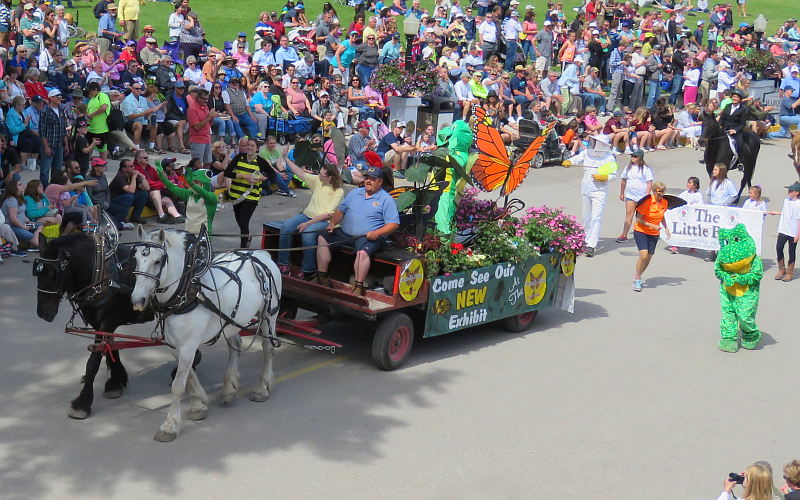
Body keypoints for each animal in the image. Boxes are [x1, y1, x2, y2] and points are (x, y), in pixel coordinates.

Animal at [34, 232, 155, 420]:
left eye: (54, 273)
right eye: (37, 273)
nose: (43, 313)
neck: (104, 275)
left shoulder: (107, 321)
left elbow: (93, 362)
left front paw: (82, 404)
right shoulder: (103, 324)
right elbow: (111, 349)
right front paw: (115, 383)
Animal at [130, 227, 282, 442]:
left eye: (158, 261)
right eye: (135, 258)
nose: (137, 299)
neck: (186, 291)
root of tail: (261, 255)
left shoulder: (188, 345)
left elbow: (178, 385)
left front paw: (169, 426)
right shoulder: (174, 345)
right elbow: (189, 377)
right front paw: (199, 404)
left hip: (269, 316)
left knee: (268, 348)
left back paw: (262, 388)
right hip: (230, 321)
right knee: (235, 345)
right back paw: (228, 389)